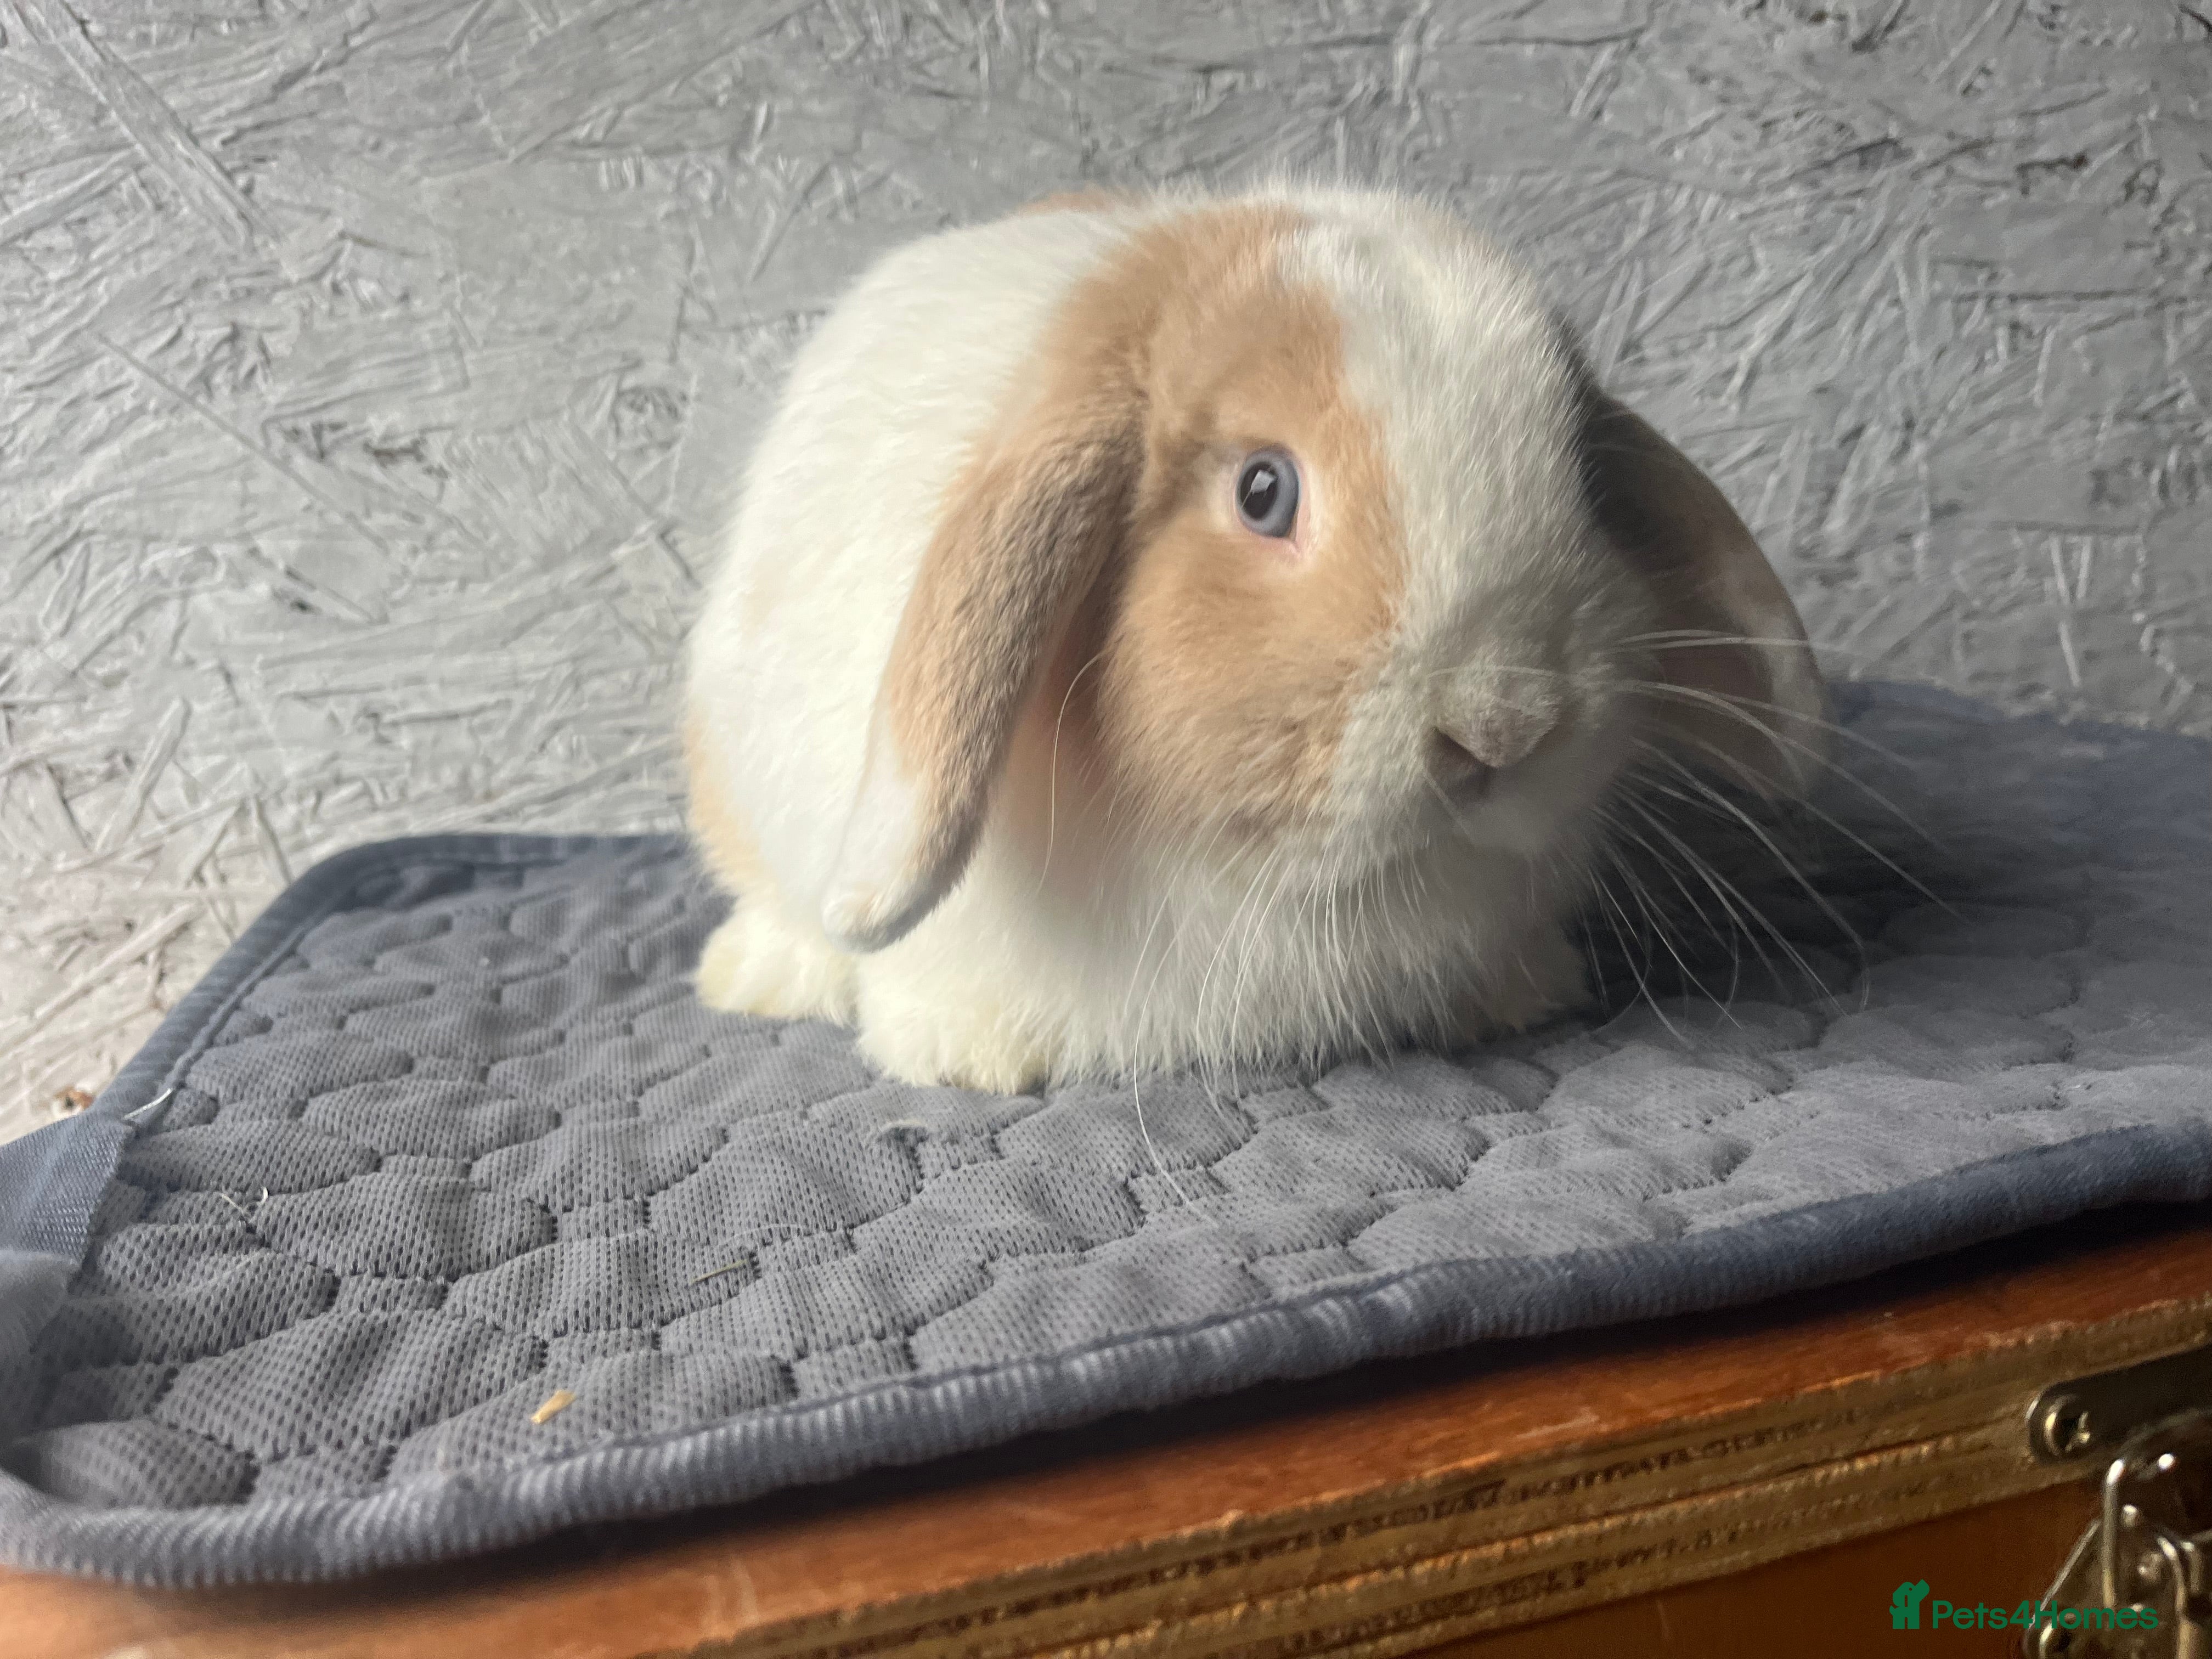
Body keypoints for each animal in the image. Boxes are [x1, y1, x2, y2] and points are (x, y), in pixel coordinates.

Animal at [682, 184, 1827, 1093]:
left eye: (1586, 479)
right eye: (1263, 491)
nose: (1502, 726)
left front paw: (1522, 994)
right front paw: (967, 1057)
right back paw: (755, 978)